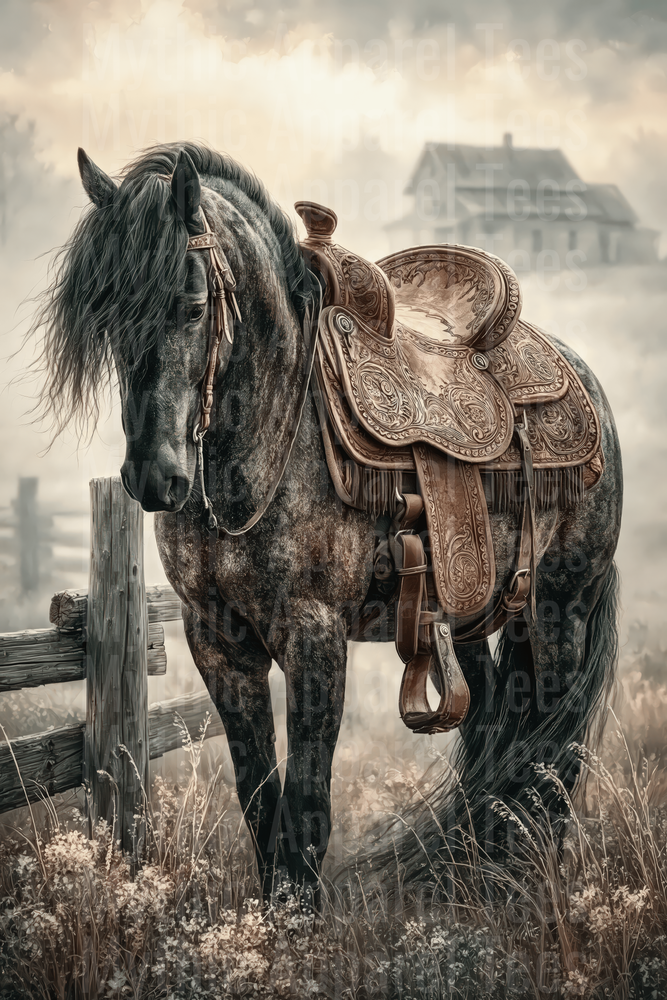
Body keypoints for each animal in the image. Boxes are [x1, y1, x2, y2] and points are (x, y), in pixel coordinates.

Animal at [34, 142, 622, 903]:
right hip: (471, 617)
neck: (268, 444)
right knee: (495, 729)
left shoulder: (314, 636)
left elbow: (308, 802)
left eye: (192, 306)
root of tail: (581, 378)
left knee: (554, 749)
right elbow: (260, 796)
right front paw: (272, 914)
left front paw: (299, 916)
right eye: (105, 315)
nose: (155, 477)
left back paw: (525, 880)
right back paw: (476, 875)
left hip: (559, 609)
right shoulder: (217, 640)